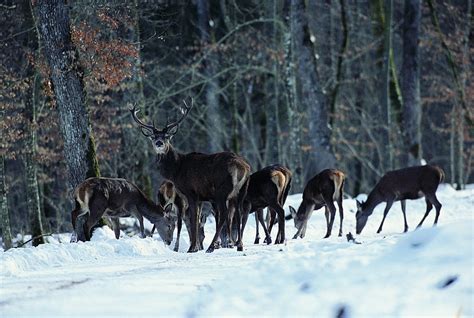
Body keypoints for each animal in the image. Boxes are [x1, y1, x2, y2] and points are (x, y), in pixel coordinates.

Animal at [128, 100, 250, 252]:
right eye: (154, 137)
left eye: (167, 136)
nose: (159, 143)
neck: (177, 169)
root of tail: (244, 167)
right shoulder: (200, 197)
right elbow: (196, 220)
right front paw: (196, 246)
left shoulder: (191, 193)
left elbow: (193, 220)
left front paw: (192, 248)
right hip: (241, 191)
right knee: (239, 213)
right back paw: (239, 245)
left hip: (222, 191)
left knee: (224, 215)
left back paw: (212, 246)